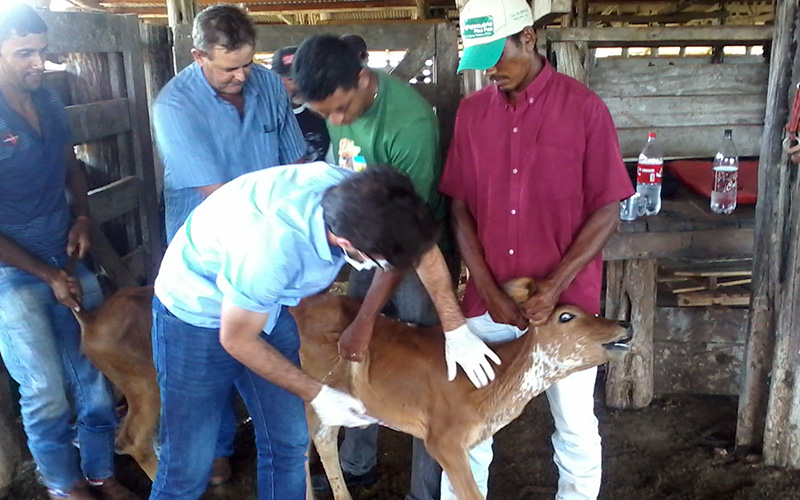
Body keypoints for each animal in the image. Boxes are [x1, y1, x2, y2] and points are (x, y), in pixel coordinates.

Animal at [290, 278, 636, 500]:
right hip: (310, 396)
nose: (625, 323)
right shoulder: (442, 440)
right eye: (566, 316)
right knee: (311, 443)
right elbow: (472, 494)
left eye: (589, 310)